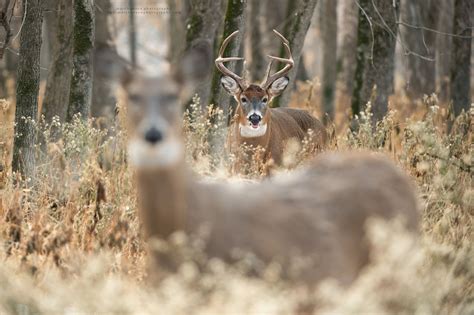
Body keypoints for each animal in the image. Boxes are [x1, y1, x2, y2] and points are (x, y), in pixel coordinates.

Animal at [121, 45, 418, 288]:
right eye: (242, 98)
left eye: (264, 99)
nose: (254, 118)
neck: (251, 154)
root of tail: (319, 123)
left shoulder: (272, 173)